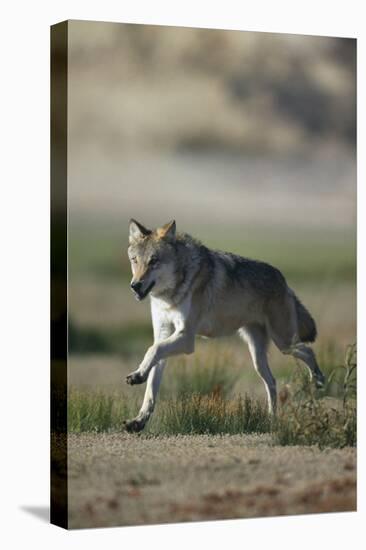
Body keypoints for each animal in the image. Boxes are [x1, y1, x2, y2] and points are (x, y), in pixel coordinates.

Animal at [124, 218, 324, 434]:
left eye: (153, 261)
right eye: (135, 260)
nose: (135, 285)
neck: (168, 296)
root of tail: (284, 281)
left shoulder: (186, 338)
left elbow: (152, 350)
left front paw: (138, 375)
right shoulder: (163, 335)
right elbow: (151, 384)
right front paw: (138, 419)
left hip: (284, 343)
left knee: (308, 352)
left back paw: (318, 381)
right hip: (258, 358)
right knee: (272, 382)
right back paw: (271, 420)